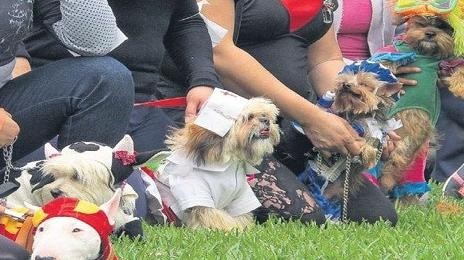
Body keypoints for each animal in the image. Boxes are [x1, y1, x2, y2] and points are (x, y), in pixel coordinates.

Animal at [157, 95, 280, 230]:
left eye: (264, 114)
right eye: (249, 117)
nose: (266, 120)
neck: (229, 165)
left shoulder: (240, 197)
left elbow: (241, 217)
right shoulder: (199, 197)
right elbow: (219, 219)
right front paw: (234, 230)